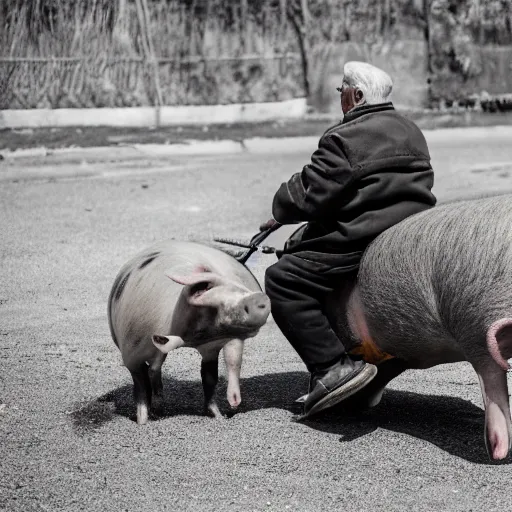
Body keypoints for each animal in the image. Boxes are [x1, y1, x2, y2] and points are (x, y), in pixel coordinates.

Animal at [108, 240, 272, 424]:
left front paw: (222, 414)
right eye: (210, 298)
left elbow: (216, 373)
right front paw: (142, 423)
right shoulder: (130, 354)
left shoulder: (215, 345)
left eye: (203, 332)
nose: (260, 300)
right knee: (153, 372)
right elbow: (141, 388)